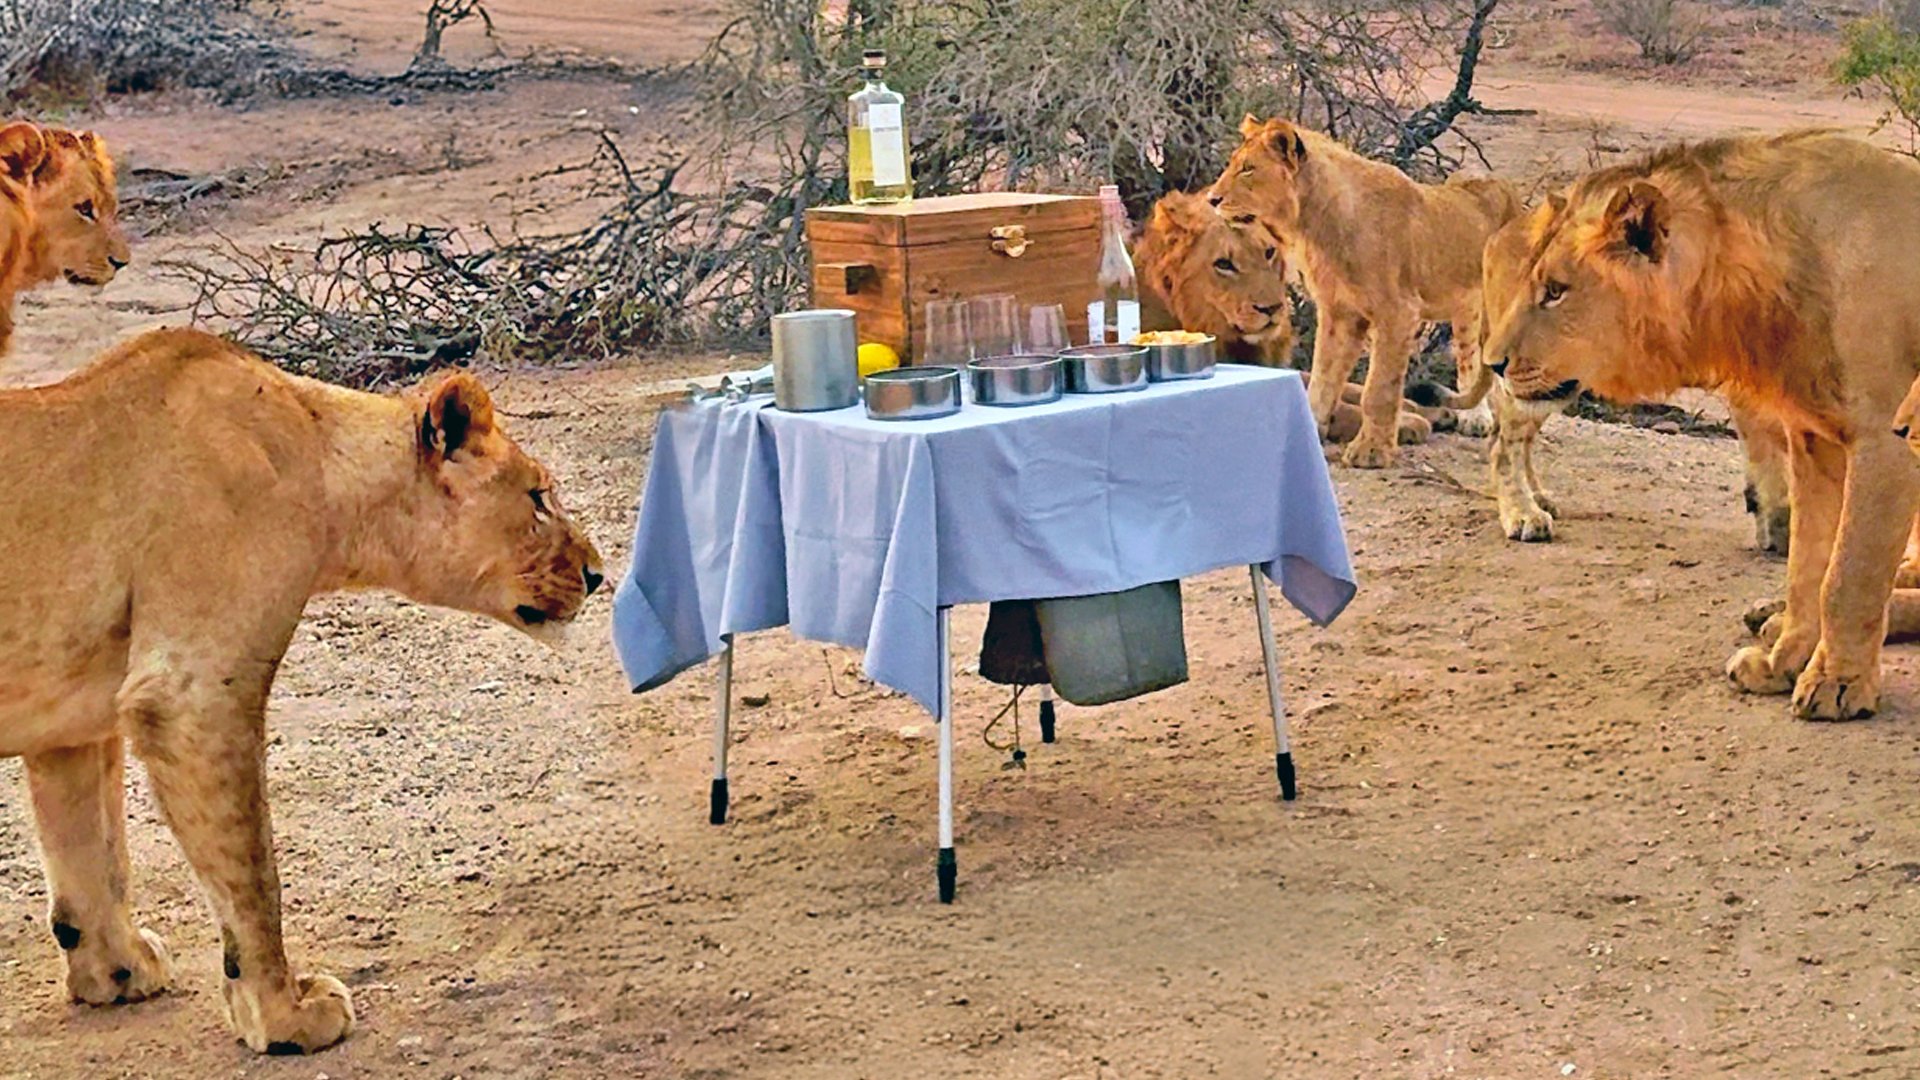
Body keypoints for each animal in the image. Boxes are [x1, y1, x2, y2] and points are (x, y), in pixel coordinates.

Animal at [0, 328, 604, 1053]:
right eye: (539, 497)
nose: (598, 573)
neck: (323, 458)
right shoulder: (192, 692)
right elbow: (251, 870)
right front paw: (281, 1013)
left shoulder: (74, 710)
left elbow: (91, 849)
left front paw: (115, 971)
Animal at [1207, 115, 1522, 468]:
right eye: (1234, 164)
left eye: (1248, 169)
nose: (1211, 199)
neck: (1314, 225)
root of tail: (1503, 183)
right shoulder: (1339, 313)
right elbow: (1322, 381)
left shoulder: (1398, 312)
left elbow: (1379, 389)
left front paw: (1371, 451)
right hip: (1466, 306)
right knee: (1469, 357)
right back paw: (1475, 418)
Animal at [1479, 129, 1920, 721]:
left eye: (1555, 290)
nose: (1494, 363)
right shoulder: (1816, 442)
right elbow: (1808, 567)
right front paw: (1784, 663)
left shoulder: (1883, 439)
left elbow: (1847, 574)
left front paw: (1835, 684)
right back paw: (1769, 617)